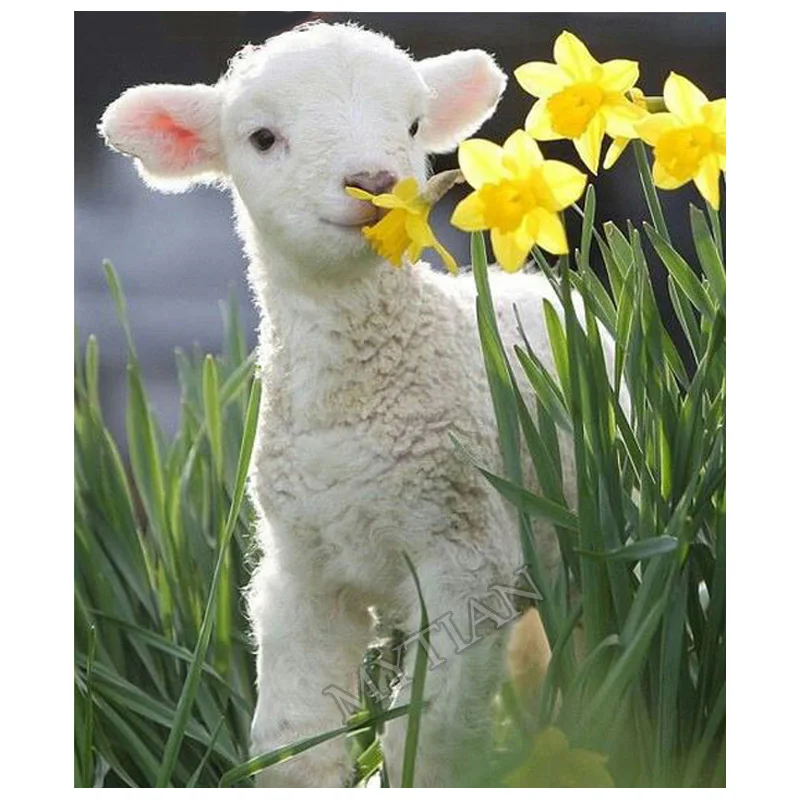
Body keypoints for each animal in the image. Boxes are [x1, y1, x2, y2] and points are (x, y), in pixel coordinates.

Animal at [100, 20, 575, 787]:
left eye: (412, 126)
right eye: (263, 137)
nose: (376, 183)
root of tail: (523, 279)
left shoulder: (467, 559)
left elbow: (431, 739)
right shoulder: (303, 572)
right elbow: (293, 744)